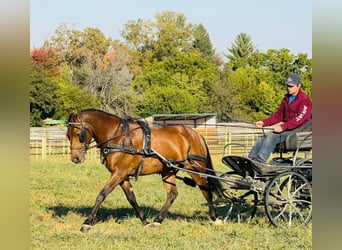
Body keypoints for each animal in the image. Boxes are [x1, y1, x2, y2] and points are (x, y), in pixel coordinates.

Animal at [67, 108, 227, 231]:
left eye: (78, 134)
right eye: (68, 136)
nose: (75, 158)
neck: (118, 137)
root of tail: (195, 134)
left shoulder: (118, 174)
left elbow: (102, 194)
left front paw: (87, 223)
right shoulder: (122, 176)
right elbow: (131, 198)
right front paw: (145, 221)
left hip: (195, 168)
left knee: (206, 191)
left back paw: (215, 218)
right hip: (168, 171)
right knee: (172, 194)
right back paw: (158, 220)